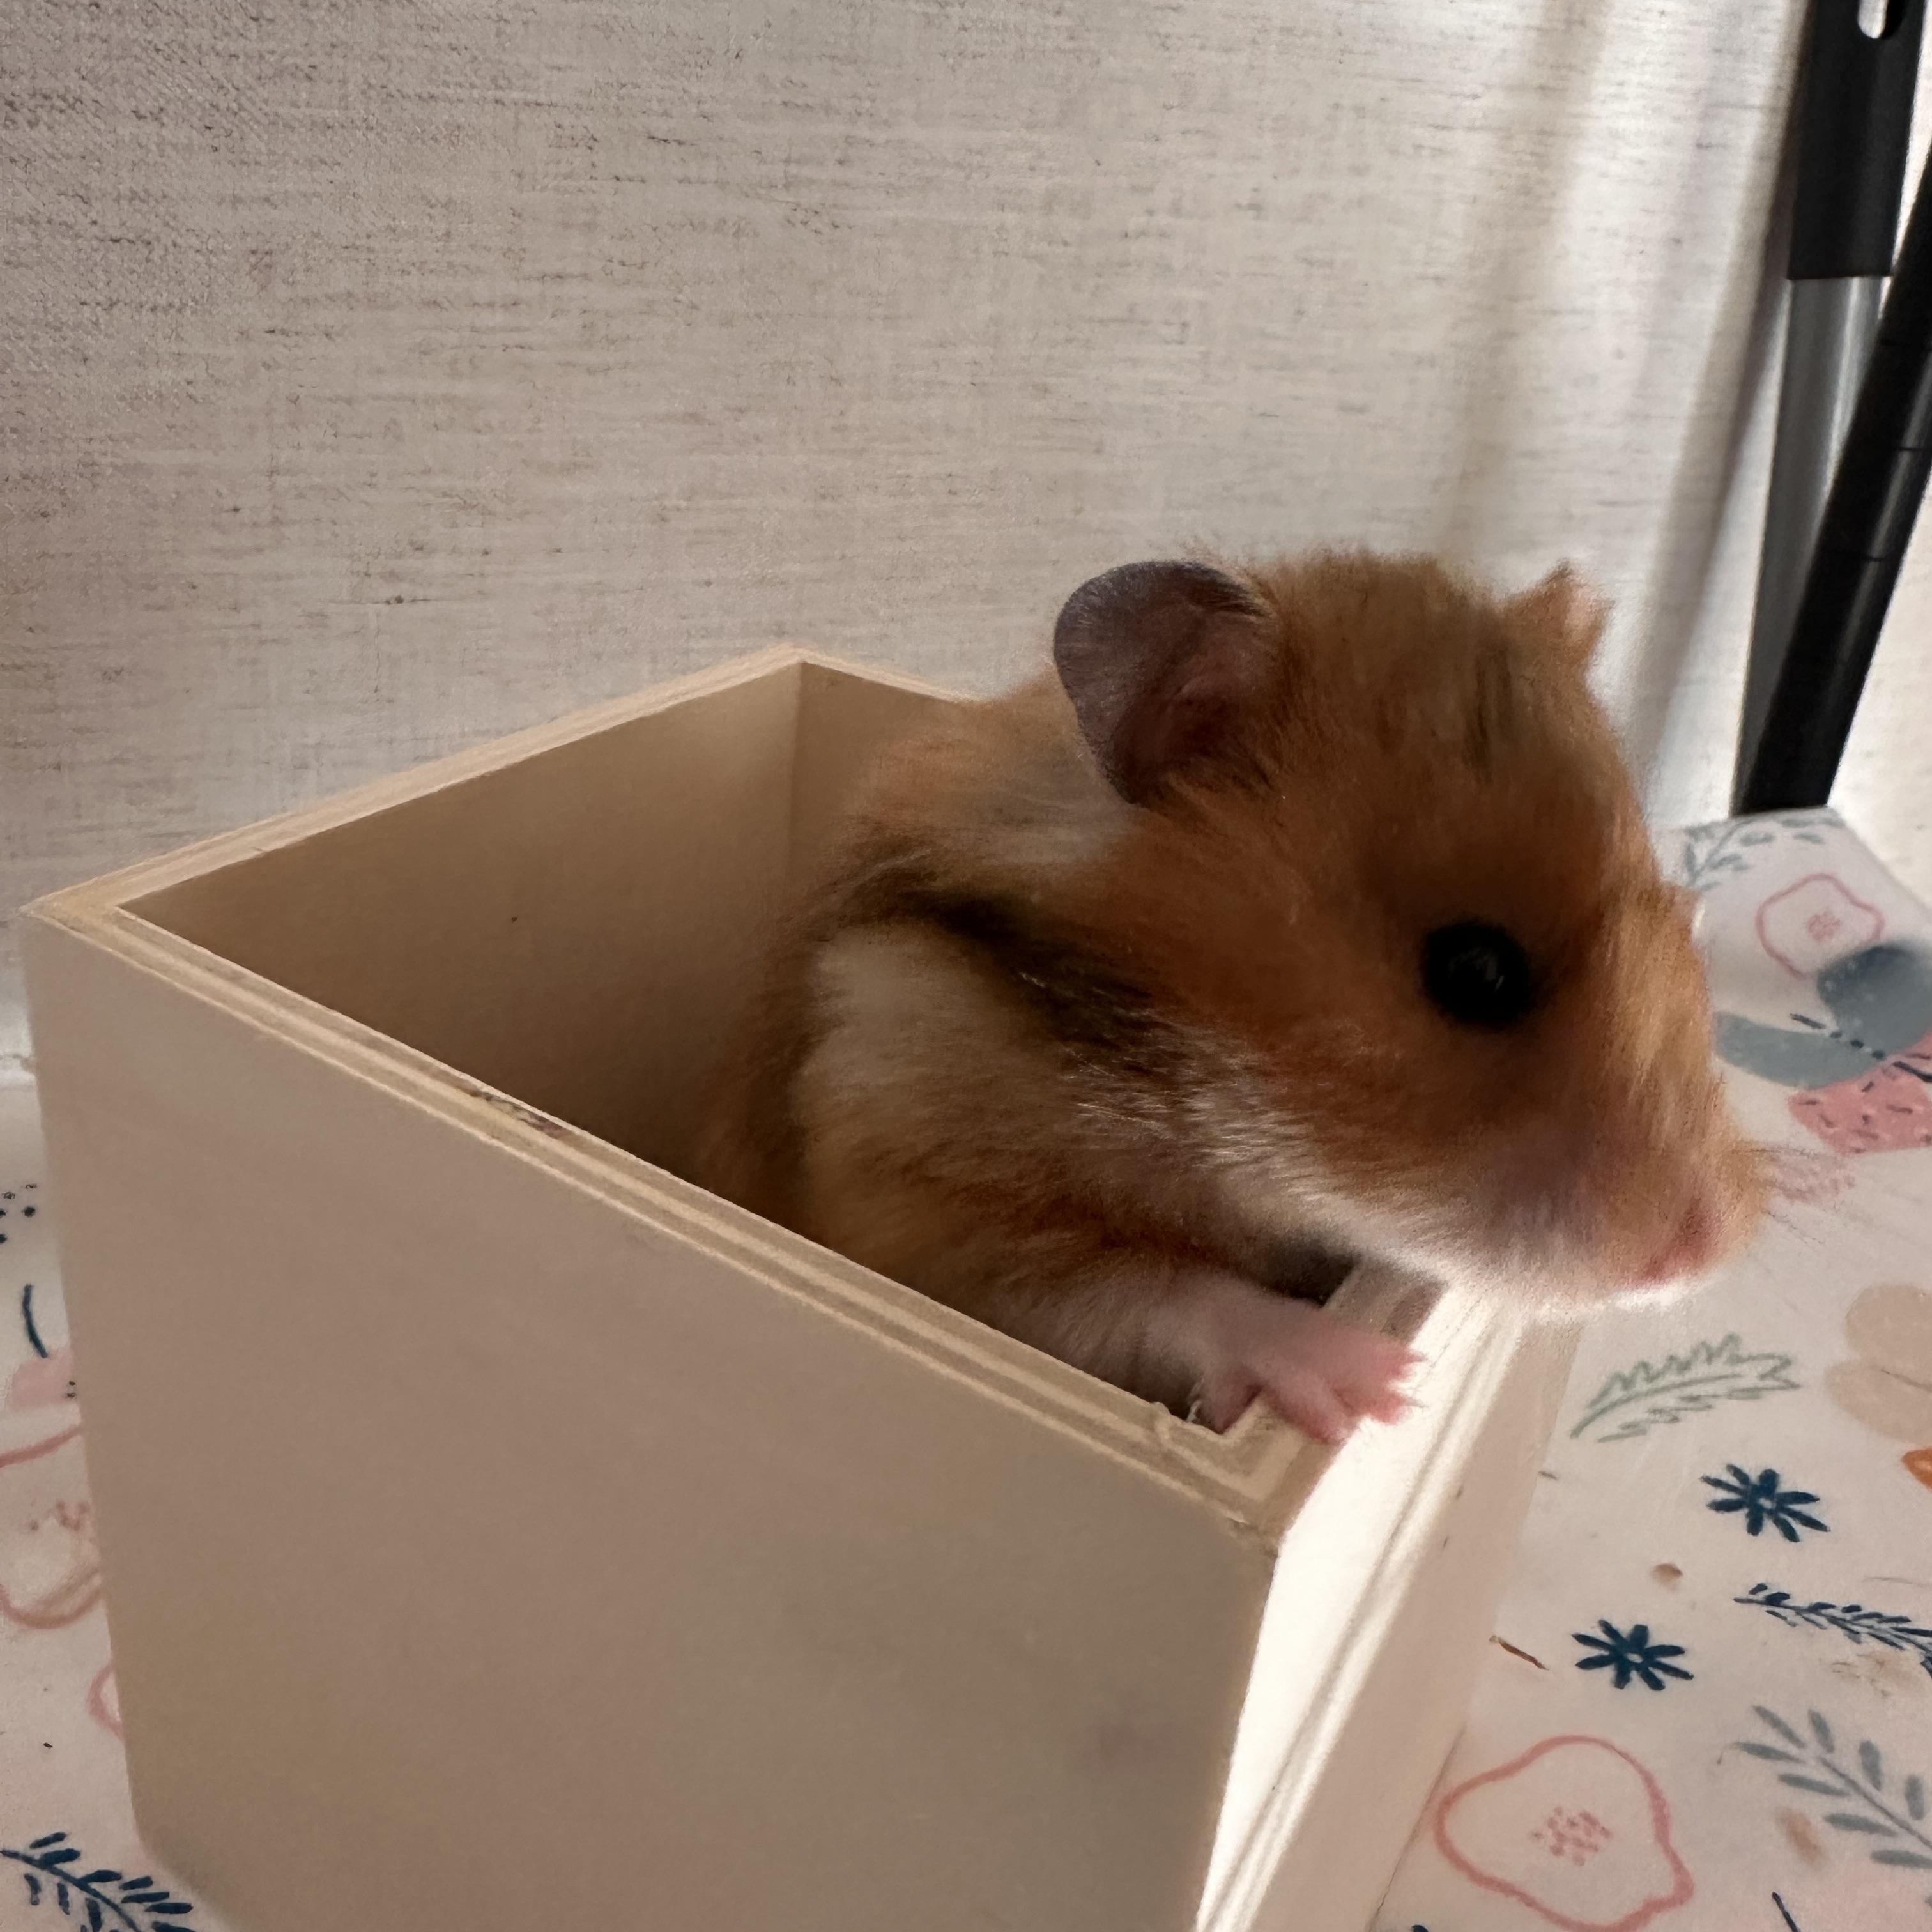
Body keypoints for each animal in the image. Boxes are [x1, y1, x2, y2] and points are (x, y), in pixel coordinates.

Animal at [698, 552, 1766, 1443]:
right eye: (1475, 970)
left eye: (1678, 912)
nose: (1701, 1255)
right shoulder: (903, 1194)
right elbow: (1156, 1288)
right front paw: (1372, 1386)